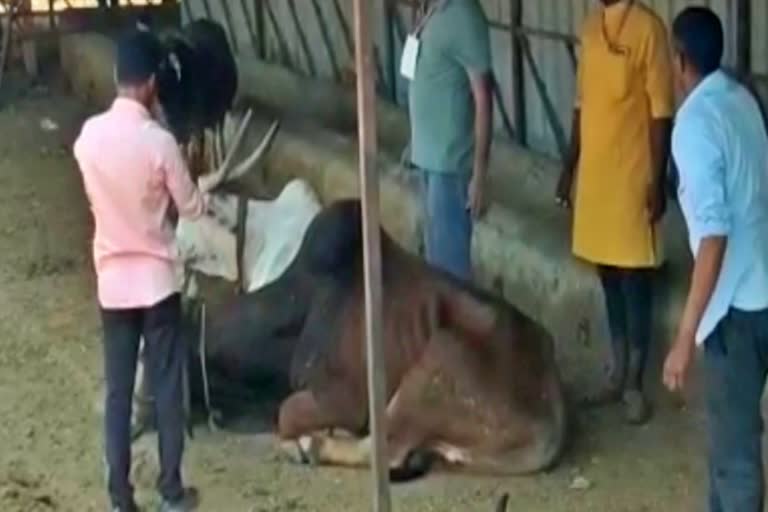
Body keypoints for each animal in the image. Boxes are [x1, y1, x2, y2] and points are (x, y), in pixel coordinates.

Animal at [184, 197, 568, 480]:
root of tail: (554, 414)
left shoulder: (346, 397)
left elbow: (286, 413)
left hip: (438, 361)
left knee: (387, 448)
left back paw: (311, 446)